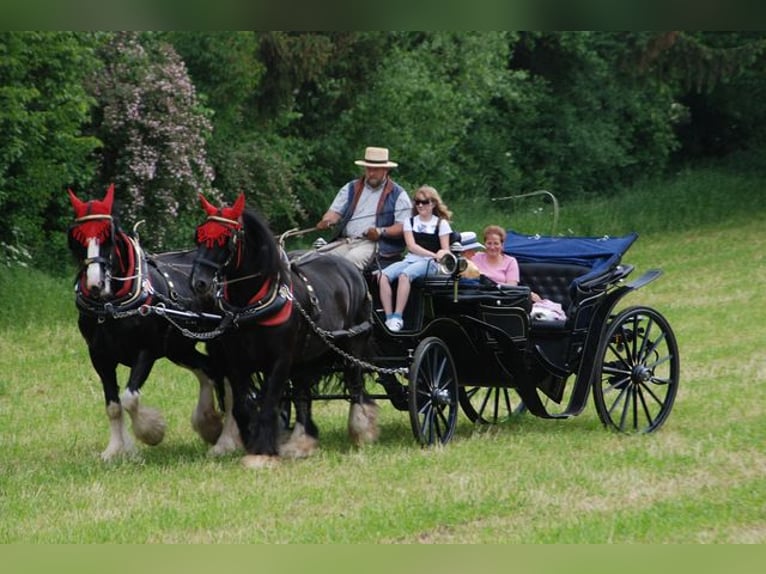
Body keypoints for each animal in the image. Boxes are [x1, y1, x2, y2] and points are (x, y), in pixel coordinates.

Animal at [68, 187, 240, 462]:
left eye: (109, 237)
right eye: (77, 238)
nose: (95, 284)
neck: (113, 305)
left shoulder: (146, 351)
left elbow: (129, 399)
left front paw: (151, 432)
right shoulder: (99, 356)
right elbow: (113, 406)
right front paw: (115, 449)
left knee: (229, 380)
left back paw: (225, 441)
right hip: (179, 347)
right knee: (208, 370)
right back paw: (208, 424)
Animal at [189, 194, 376, 468]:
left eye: (225, 239)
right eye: (199, 236)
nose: (198, 283)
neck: (253, 303)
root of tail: (352, 269)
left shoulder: (279, 361)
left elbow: (269, 404)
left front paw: (263, 451)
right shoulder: (236, 362)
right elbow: (243, 407)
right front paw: (249, 439)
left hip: (352, 346)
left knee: (355, 387)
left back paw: (362, 431)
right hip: (307, 358)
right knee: (302, 396)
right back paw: (302, 442)